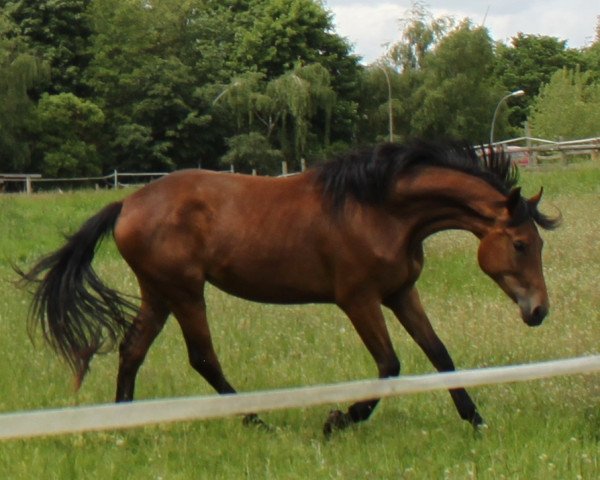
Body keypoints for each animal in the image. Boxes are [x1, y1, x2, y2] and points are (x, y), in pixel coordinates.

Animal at [19, 142, 564, 436]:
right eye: (520, 244)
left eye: (537, 243)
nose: (539, 310)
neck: (380, 210)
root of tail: (127, 203)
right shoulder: (358, 301)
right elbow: (390, 366)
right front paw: (338, 420)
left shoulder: (401, 294)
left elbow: (440, 355)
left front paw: (476, 421)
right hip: (185, 293)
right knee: (202, 359)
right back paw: (257, 419)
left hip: (159, 294)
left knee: (133, 350)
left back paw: (123, 424)